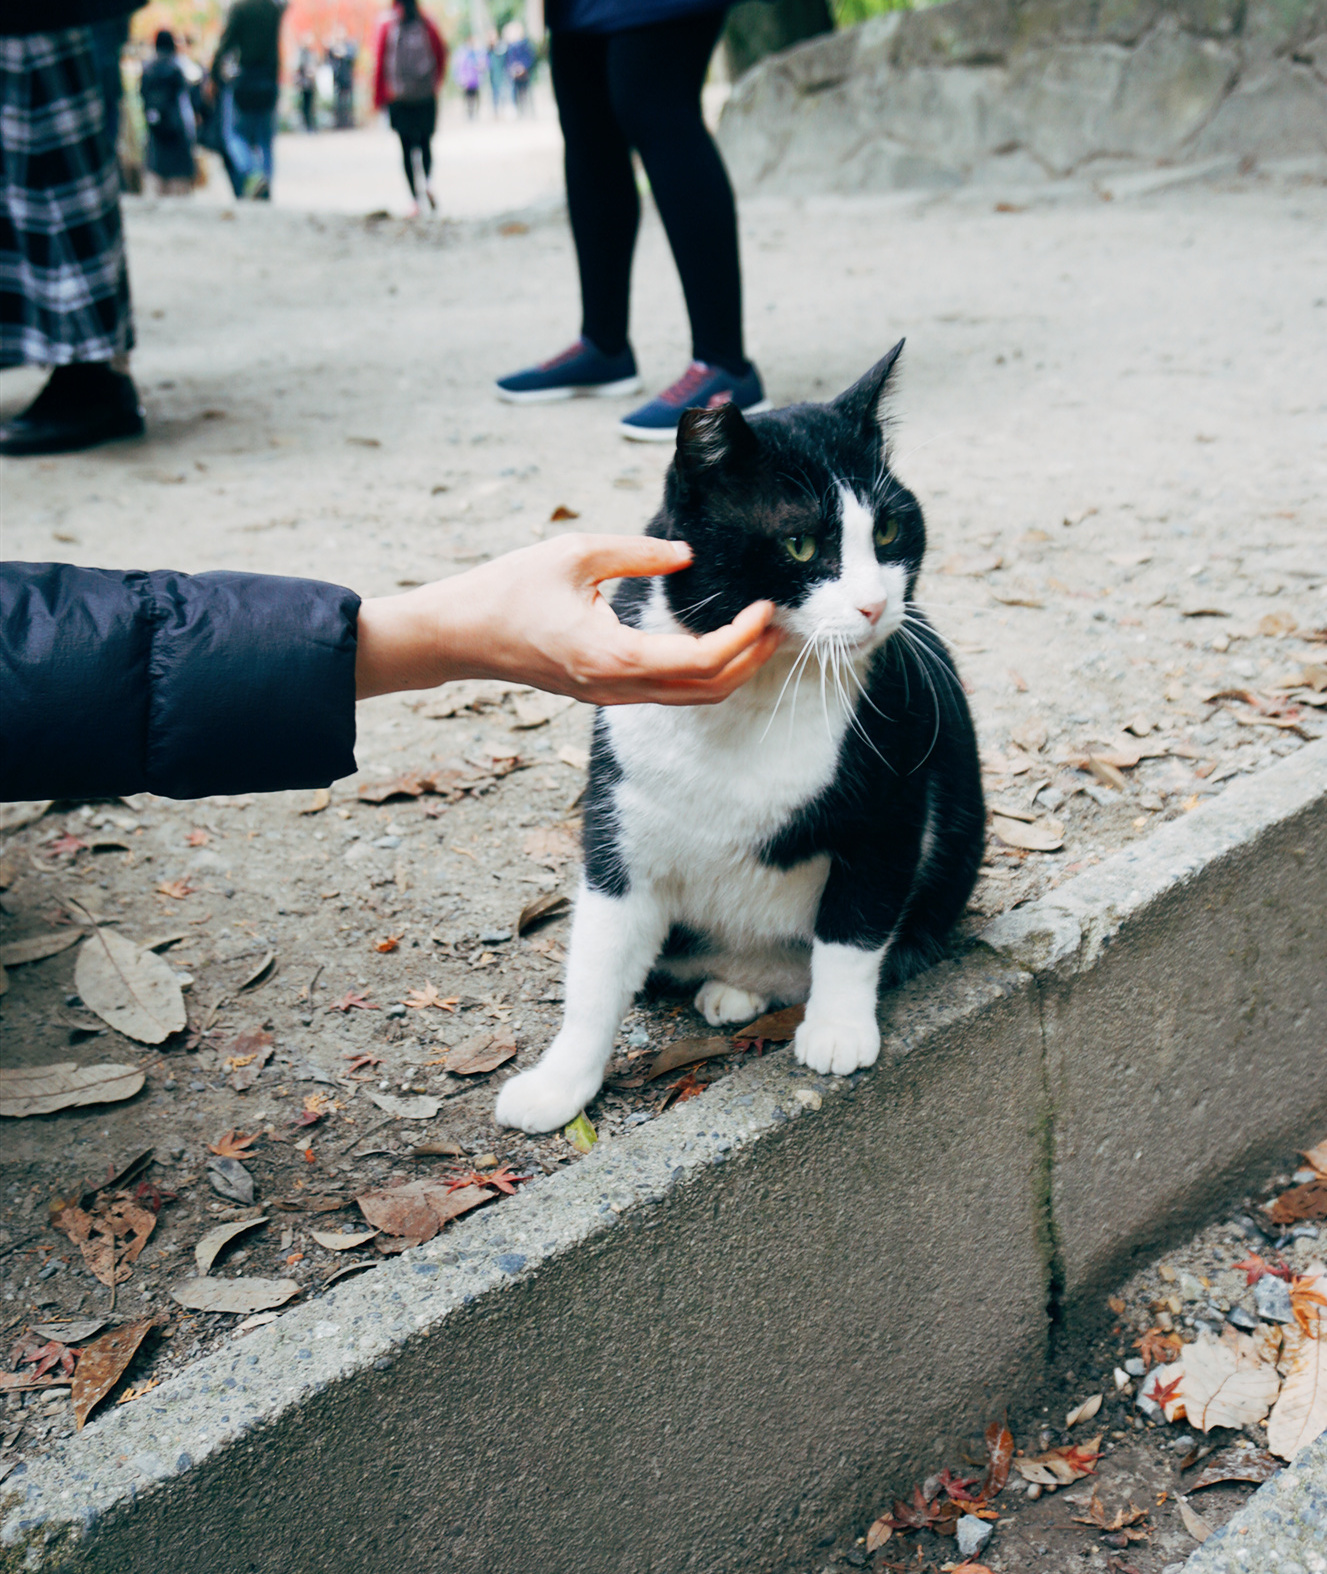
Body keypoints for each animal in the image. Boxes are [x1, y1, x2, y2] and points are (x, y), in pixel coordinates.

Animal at [494, 344, 988, 1133]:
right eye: (799, 543)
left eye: (887, 532)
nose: (876, 604)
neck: (767, 688)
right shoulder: (619, 822)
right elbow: (596, 966)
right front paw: (560, 1082)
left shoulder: (892, 806)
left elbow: (855, 926)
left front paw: (838, 1030)